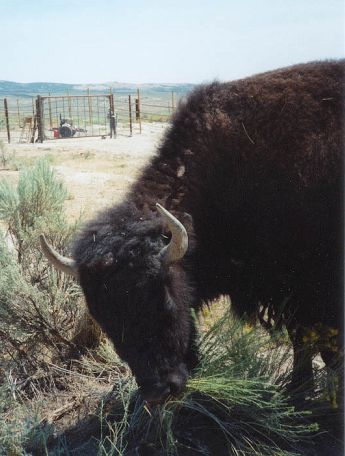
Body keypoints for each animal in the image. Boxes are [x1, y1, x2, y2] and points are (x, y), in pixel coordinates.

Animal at [39, 59, 342, 402]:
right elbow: (304, 341)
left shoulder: (306, 290)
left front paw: (301, 393)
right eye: (104, 318)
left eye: (163, 299)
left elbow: (311, 343)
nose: (160, 389)